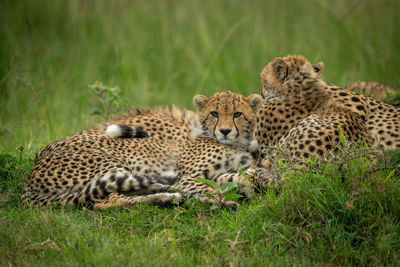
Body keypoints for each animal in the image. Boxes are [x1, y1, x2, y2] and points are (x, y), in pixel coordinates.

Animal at [21, 92, 276, 211]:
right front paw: (224, 201)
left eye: (237, 114)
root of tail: (30, 178)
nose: (224, 131)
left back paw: (163, 191)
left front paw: (255, 183)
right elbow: (208, 187)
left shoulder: (225, 171)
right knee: (106, 199)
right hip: (110, 161)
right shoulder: (188, 176)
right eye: (214, 113)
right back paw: (164, 197)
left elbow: (240, 175)